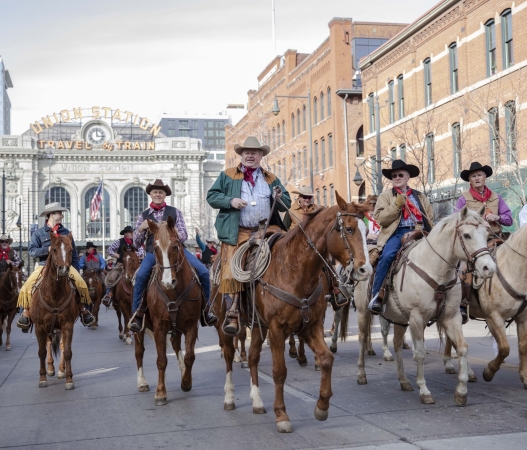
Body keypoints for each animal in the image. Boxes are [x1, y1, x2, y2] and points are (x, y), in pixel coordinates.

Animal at [30, 232, 80, 390]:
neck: (54, 294)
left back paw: (60, 370)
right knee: (48, 343)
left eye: (71, 250)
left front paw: (69, 379)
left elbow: (68, 351)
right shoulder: (39, 327)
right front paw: (42, 378)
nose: (64, 270)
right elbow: (42, 352)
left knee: (61, 346)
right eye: (54, 250)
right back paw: (50, 368)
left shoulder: (67, 325)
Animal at [134, 216, 202, 406]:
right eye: (156, 248)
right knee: (139, 351)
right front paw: (160, 393)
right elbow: (161, 360)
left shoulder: (191, 324)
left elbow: (189, 356)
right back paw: (142, 382)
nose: (167, 282)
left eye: (175, 246)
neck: (173, 291)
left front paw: (186, 382)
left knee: (176, 344)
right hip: (139, 327)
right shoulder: (160, 326)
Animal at [214, 192, 372, 432]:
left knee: (253, 357)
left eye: (368, 231)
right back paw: (230, 397)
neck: (294, 271)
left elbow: (327, 359)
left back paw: (257, 401)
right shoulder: (277, 330)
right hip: (226, 323)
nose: (365, 270)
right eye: (350, 229)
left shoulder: (310, 325)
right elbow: (279, 372)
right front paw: (281, 415)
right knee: (230, 354)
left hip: (259, 326)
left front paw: (322, 406)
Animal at [352, 206, 498, 406]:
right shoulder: (417, 317)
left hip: (399, 318)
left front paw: (461, 391)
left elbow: (462, 347)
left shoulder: (451, 317)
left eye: (486, 234)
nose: (489, 268)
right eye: (467, 235)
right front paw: (424, 390)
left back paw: (404, 380)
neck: (435, 270)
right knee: (361, 338)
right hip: (363, 312)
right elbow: (420, 353)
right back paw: (361, 374)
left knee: (397, 343)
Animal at [444, 221, 527, 386]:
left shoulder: (522, 318)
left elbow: (522, 346)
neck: (513, 270)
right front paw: (489, 372)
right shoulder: (494, 317)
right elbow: (504, 348)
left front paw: (524, 376)